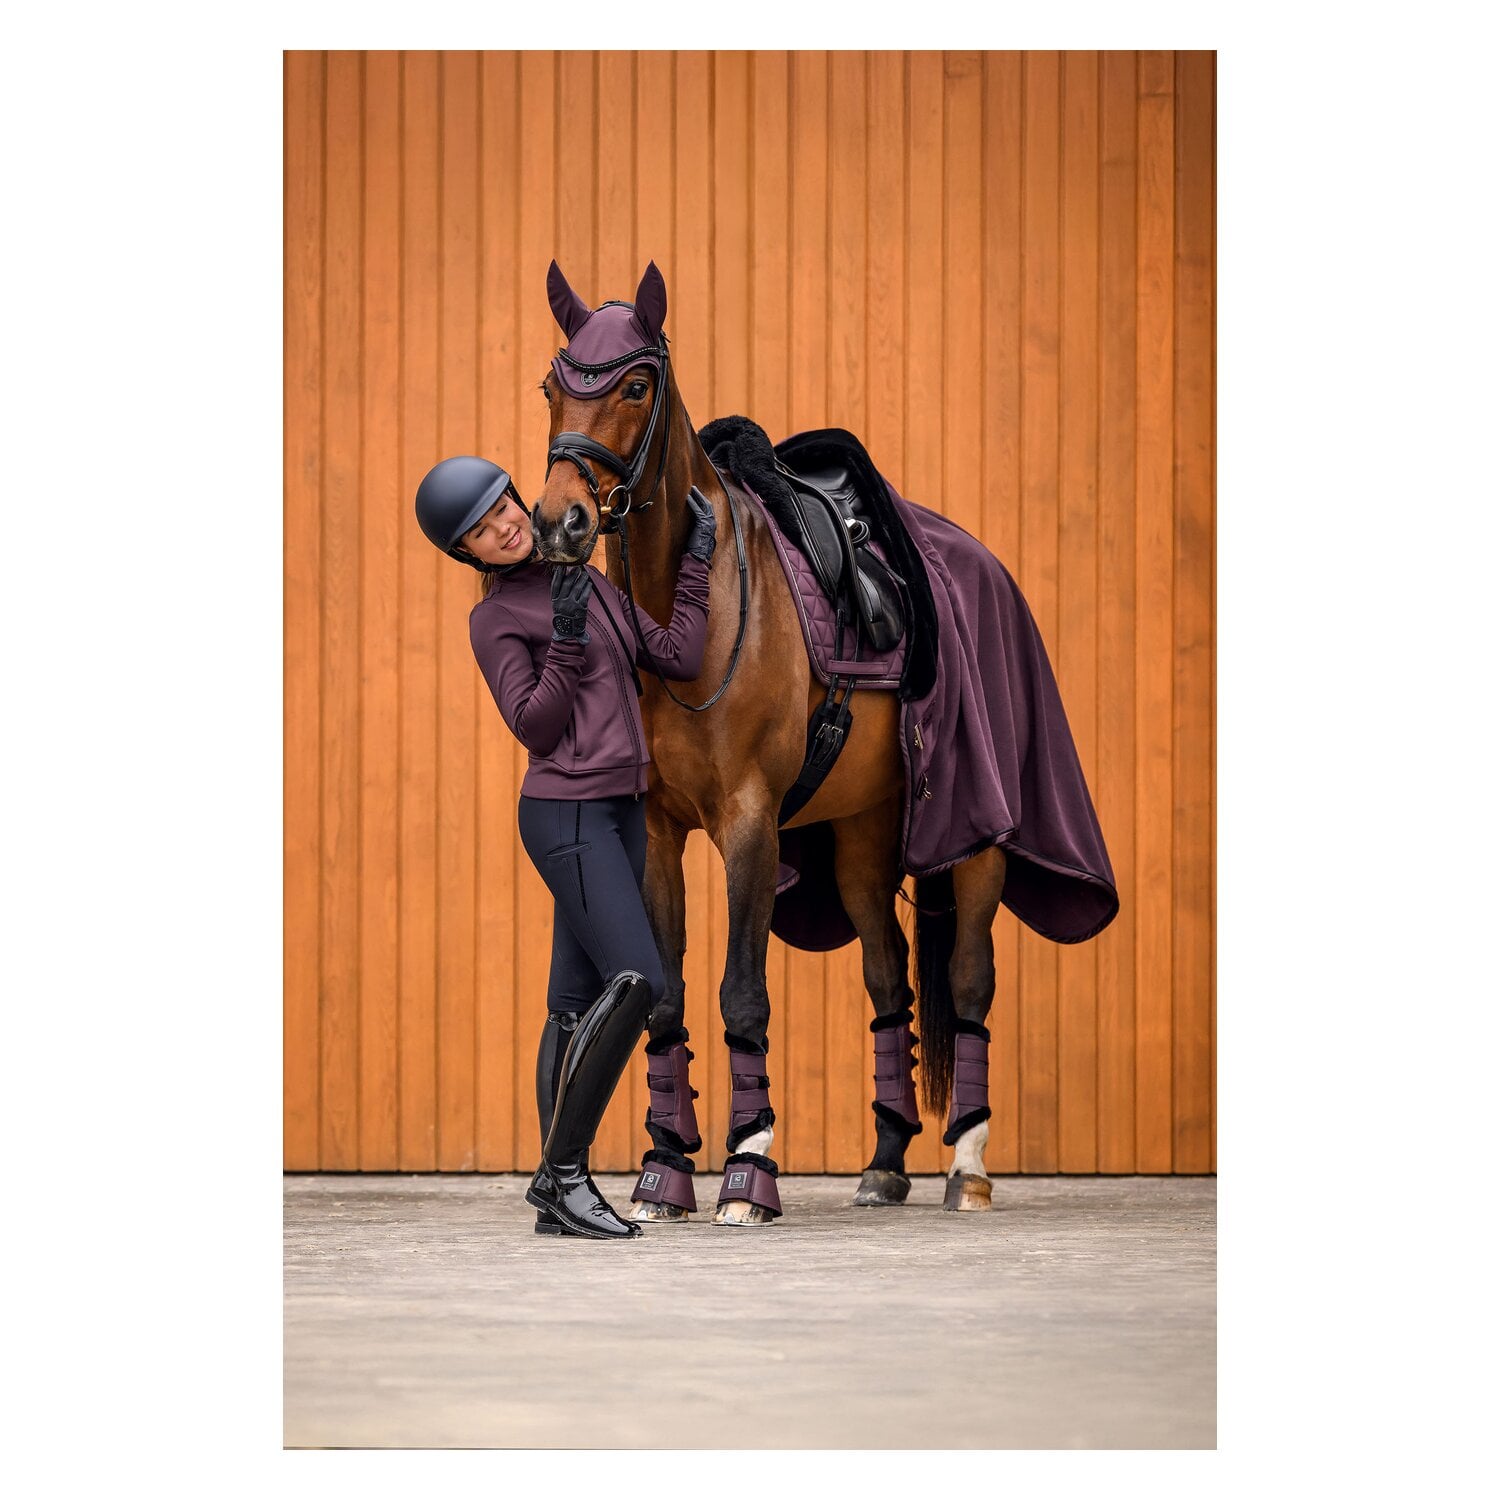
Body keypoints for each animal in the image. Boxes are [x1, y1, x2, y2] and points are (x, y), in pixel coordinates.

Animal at [530, 260, 1011, 1225]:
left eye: (635, 385)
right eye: (552, 387)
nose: (561, 520)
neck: (693, 612)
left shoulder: (750, 821)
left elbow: (741, 994)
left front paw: (748, 1171)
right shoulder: (658, 832)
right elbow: (665, 996)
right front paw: (663, 1170)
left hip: (975, 842)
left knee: (971, 980)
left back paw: (966, 1167)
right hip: (862, 839)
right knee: (890, 982)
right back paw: (884, 1163)